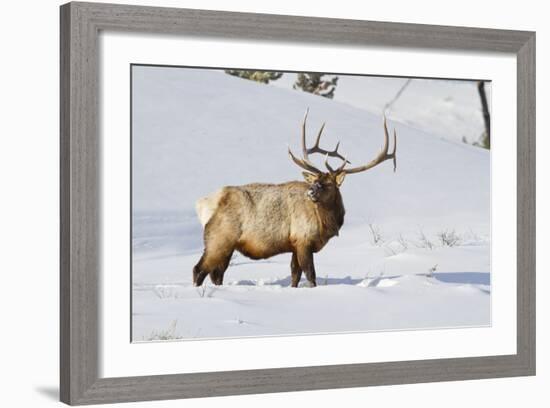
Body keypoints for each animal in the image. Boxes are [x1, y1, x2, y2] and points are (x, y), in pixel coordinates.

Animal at [194, 109, 396, 286]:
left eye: (329, 184)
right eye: (315, 181)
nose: (311, 192)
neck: (327, 224)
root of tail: (203, 204)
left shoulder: (294, 244)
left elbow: (295, 275)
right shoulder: (303, 240)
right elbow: (311, 275)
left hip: (225, 244)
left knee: (216, 273)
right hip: (219, 238)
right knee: (199, 269)